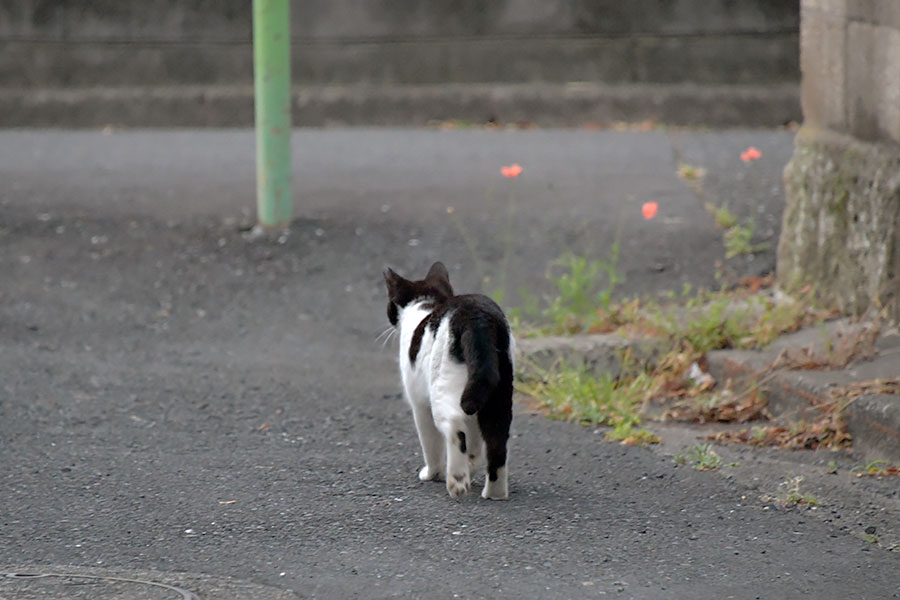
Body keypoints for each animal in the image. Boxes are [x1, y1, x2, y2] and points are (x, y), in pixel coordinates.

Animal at [384, 262, 516, 502]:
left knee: (455, 428)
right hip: (496, 392)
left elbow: (430, 443)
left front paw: (432, 473)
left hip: (442, 388)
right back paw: (494, 493)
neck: (426, 304)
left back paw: (456, 481)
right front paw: (471, 466)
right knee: (497, 440)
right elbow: (475, 445)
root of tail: (477, 318)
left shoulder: (419, 404)